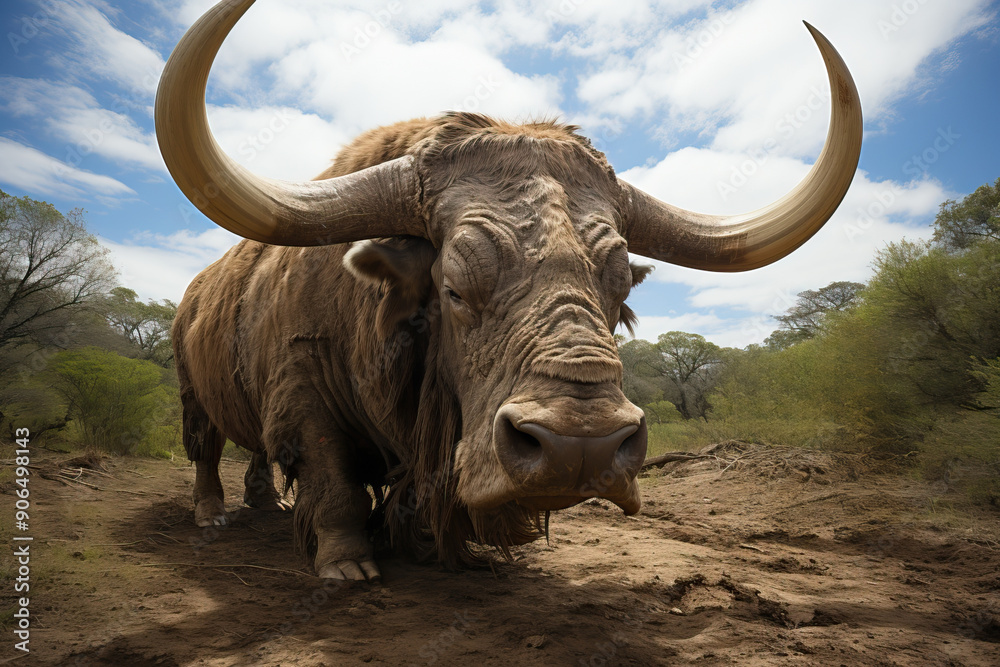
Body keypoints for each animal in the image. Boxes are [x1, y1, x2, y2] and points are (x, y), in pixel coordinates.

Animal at [156, 0, 861, 582]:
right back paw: (213, 513)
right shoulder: (303, 392)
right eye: (454, 287)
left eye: (617, 288)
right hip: (193, 397)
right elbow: (331, 478)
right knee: (206, 449)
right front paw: (348, 563)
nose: (582, 446)